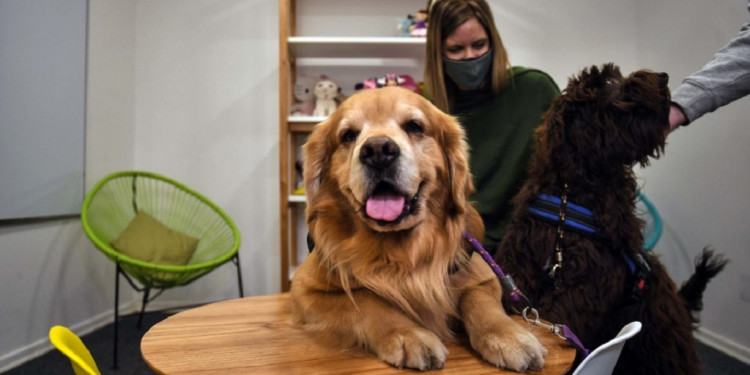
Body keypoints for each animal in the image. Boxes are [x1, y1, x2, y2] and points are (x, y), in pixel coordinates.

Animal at [292, 86, 548, 372]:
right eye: (348, 135)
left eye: (414, 126)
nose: (378, 150)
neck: (400, 252)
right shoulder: (305, 289)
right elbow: (365, 302)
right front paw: (408, 335)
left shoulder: (483, 276)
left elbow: (479, 301)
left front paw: (508, 335)